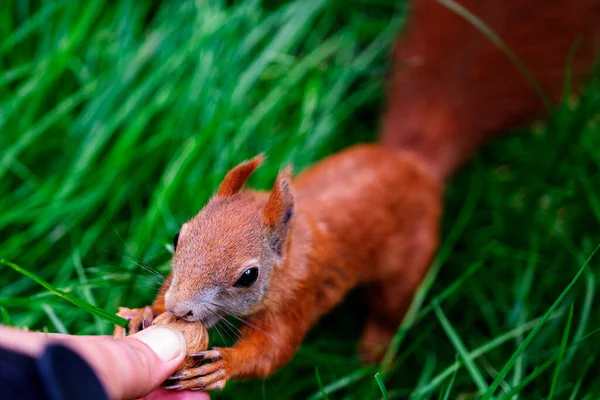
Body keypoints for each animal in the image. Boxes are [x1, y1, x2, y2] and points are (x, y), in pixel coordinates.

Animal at [112, 0, 600, 392]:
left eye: (248, 276)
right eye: (180, 236)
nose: (179, 307)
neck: (291, 251)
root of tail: (411, 162)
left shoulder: (299, 298)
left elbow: (274, 353)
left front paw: (223, 365)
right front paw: (143, 311)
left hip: (410, 263)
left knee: (391, 311)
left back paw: (374, 357)